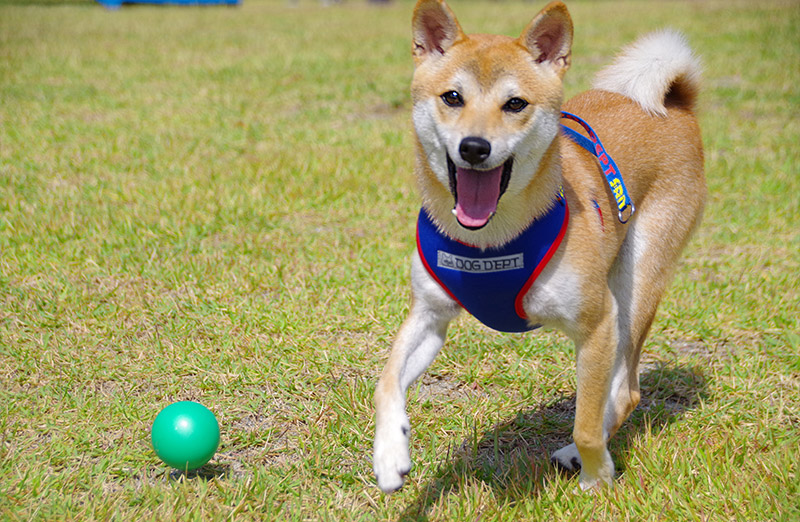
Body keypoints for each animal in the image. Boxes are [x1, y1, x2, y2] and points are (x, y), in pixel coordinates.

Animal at [372, 0, 704, 492]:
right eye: (452, 97)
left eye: (515, 104)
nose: (474, 147)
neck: (489, 241)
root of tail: (676, 102)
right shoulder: (430, 315)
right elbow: (386, 381)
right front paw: (389, 454)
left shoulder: (597, 324)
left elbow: (585, 423)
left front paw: (597, 480)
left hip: (636, 286)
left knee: (626, 391)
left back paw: (582, 456)